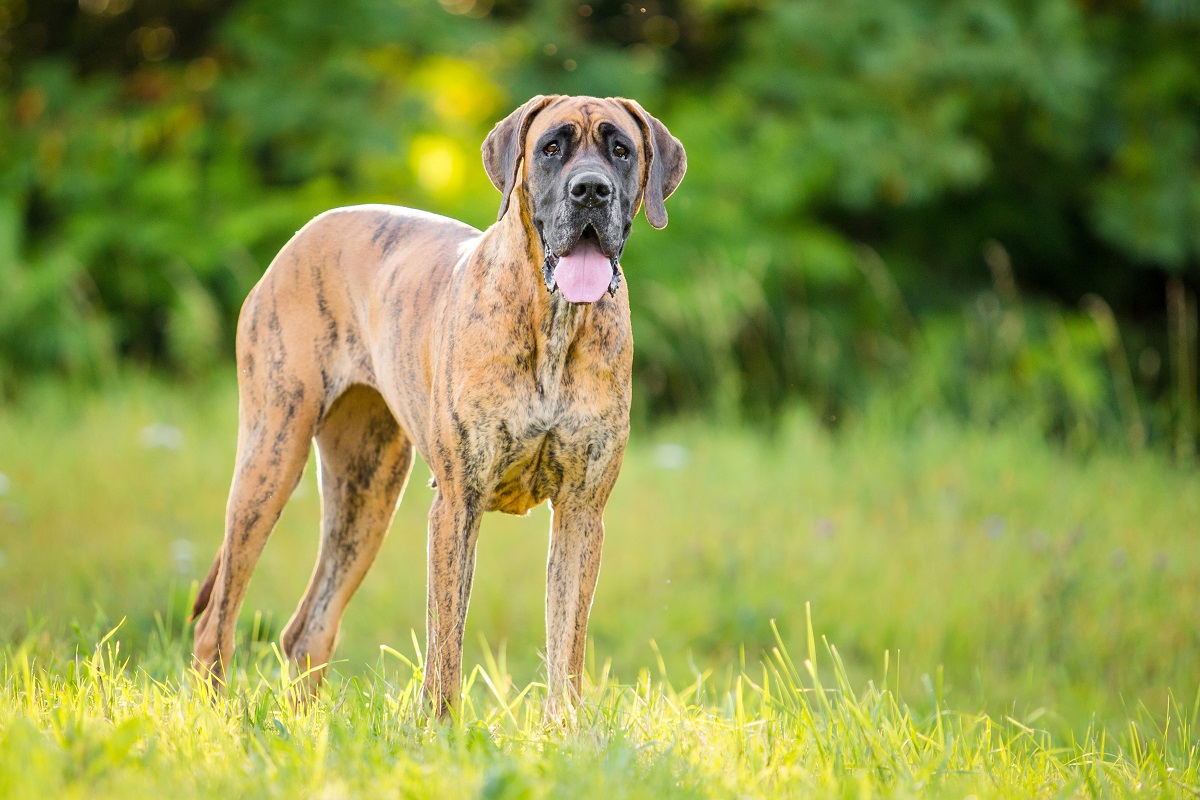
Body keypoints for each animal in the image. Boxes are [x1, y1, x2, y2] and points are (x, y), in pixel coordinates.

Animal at [192, 95, 691, 719]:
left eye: (620, 150)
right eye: (551, 147)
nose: (590, 190)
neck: (554, 323)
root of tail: (303, 234)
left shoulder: (582, 512)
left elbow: (566, 645)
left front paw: (568, 730)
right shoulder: (458, 504)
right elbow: (446, 639)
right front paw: (442, 728)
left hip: (367, 493)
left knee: (309, 628)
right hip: (271, 460)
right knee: (217, 618)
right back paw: (213, 717)